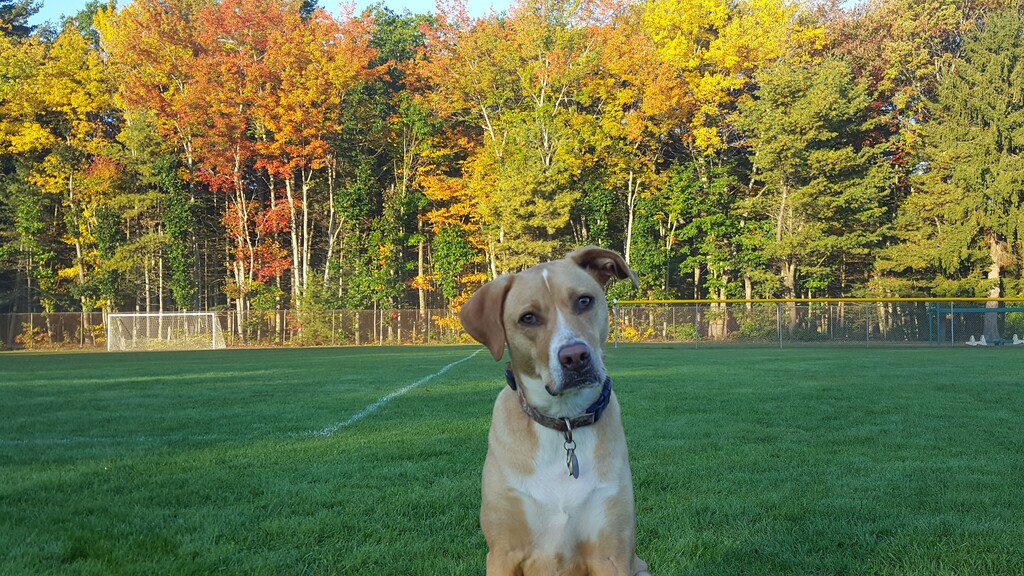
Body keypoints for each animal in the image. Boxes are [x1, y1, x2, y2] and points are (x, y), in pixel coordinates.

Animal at [462, 245, 651, 573]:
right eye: (528, 318)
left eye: (584, 300)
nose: (575, 357)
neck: (564, 421)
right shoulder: (503, 552)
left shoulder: (610, 552)